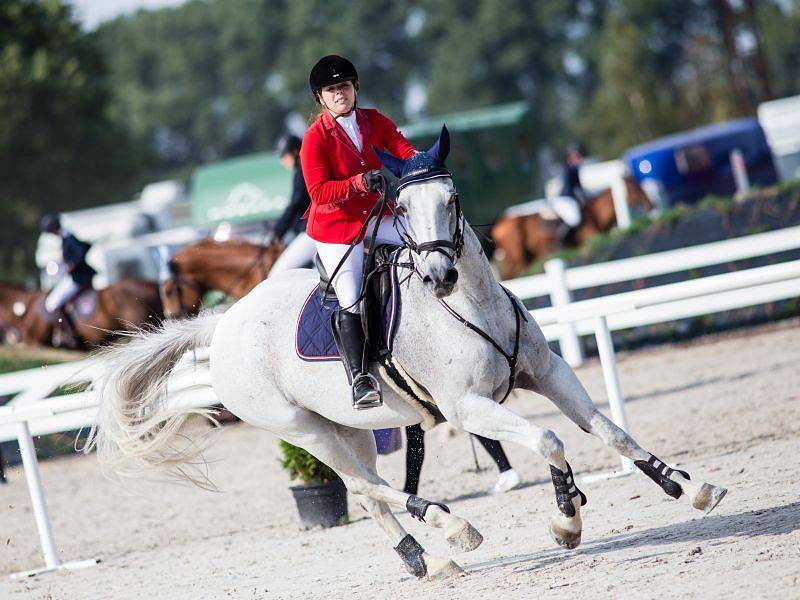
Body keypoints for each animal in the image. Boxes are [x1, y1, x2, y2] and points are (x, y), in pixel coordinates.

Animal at [490, 177, 652, 280]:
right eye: (633, 189)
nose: (650, 205)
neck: (595, 215)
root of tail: (500, 224)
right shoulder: (587, 242)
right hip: (518, 259)